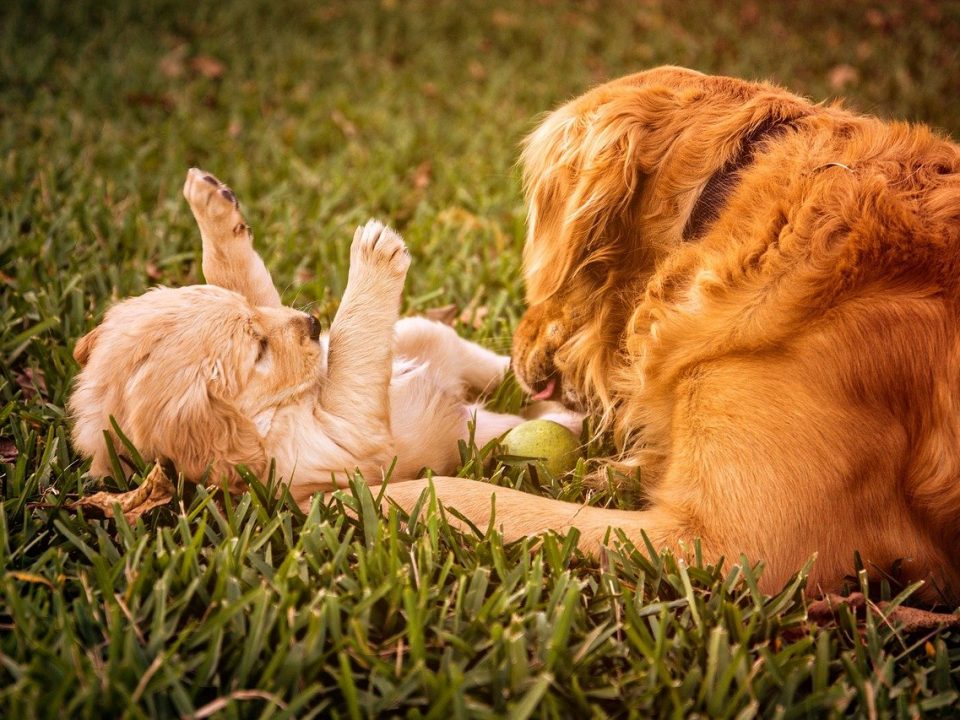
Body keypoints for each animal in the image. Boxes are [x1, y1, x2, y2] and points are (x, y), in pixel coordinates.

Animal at [73, 172, 576, 504]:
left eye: (254, 322)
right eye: (258, 352)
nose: (314, 324)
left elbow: (242, 277)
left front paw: (213, 207)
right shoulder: (341, 446)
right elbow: (349, 365)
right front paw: (373, 255)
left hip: (424, 332)